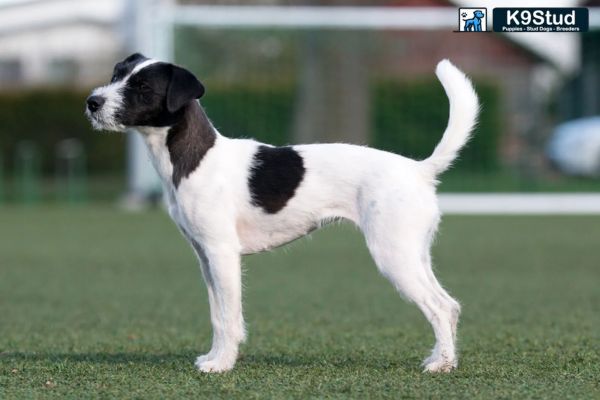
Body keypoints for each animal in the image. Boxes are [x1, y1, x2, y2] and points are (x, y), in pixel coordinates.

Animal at [85, 52, 478, 372]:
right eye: (116, 73)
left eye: (142, 86)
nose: (92, 102)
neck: (196, 157)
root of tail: (419, 170)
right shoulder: (205, 258)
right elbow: (217, 316)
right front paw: (213, 357)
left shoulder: (222, 254)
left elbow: (229, 318)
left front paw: (222, 364)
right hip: (413, 255)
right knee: (450, 305)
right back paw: (442, 358)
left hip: (393, 256)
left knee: (439, 306)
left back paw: (441, 365)